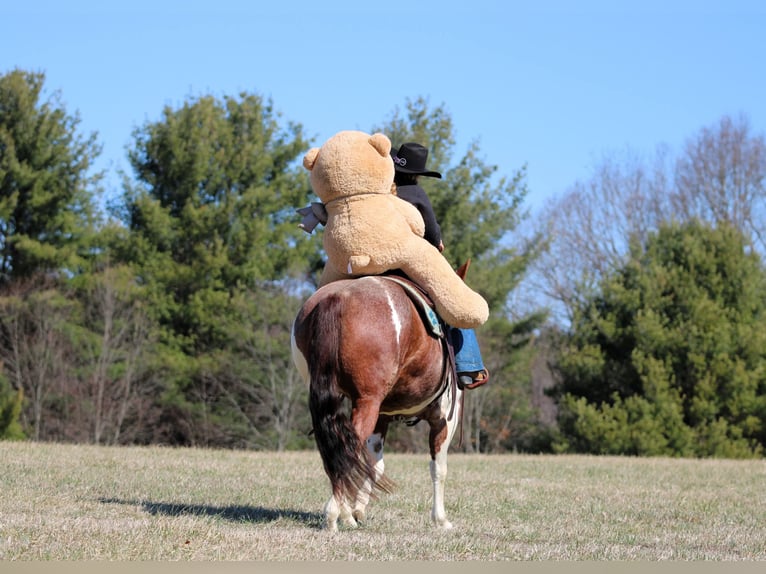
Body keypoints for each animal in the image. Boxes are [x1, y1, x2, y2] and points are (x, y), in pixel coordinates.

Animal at [291, 269, 466, 532]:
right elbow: (439, 468)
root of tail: (338, 298)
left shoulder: (382, 418)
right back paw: (334, 515)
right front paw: (441, 519)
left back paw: (343, 513)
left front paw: (358, 510)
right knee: (347, 449)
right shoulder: (444, 419)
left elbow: (375, 464)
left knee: (340, 450)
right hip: (368, 403)